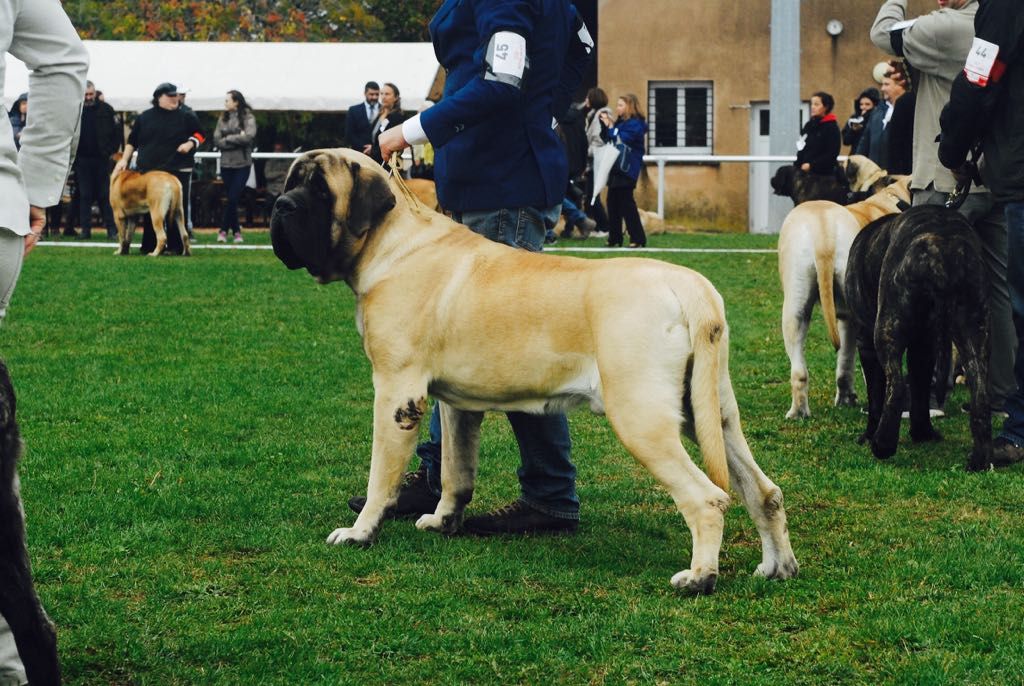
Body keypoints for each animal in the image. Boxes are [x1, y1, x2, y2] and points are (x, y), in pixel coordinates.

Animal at [269, 148, 798, 593]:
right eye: (292, 181)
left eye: (321, 190)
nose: (279, 207)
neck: (390, 244)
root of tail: (690, 286)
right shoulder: (455, 404)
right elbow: (455, 472)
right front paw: (443, 521)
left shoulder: (396, 394)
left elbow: (380, 477)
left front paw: (360, 532)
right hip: (712, 413)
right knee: (764, 491)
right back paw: (777, 567)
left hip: (643, 417)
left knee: (707, 498)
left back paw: (699, 577)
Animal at [844, 206, 992, 471]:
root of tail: (944, 250)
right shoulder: (923, 345)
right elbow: (920, 389)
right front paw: (923, 433)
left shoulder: (865, 342)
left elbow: (875, 395)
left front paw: (869, 434)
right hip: (975, 329)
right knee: (980, 395)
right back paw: (979, 460)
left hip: (887, 327)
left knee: (895, 388)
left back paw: (882, 445)